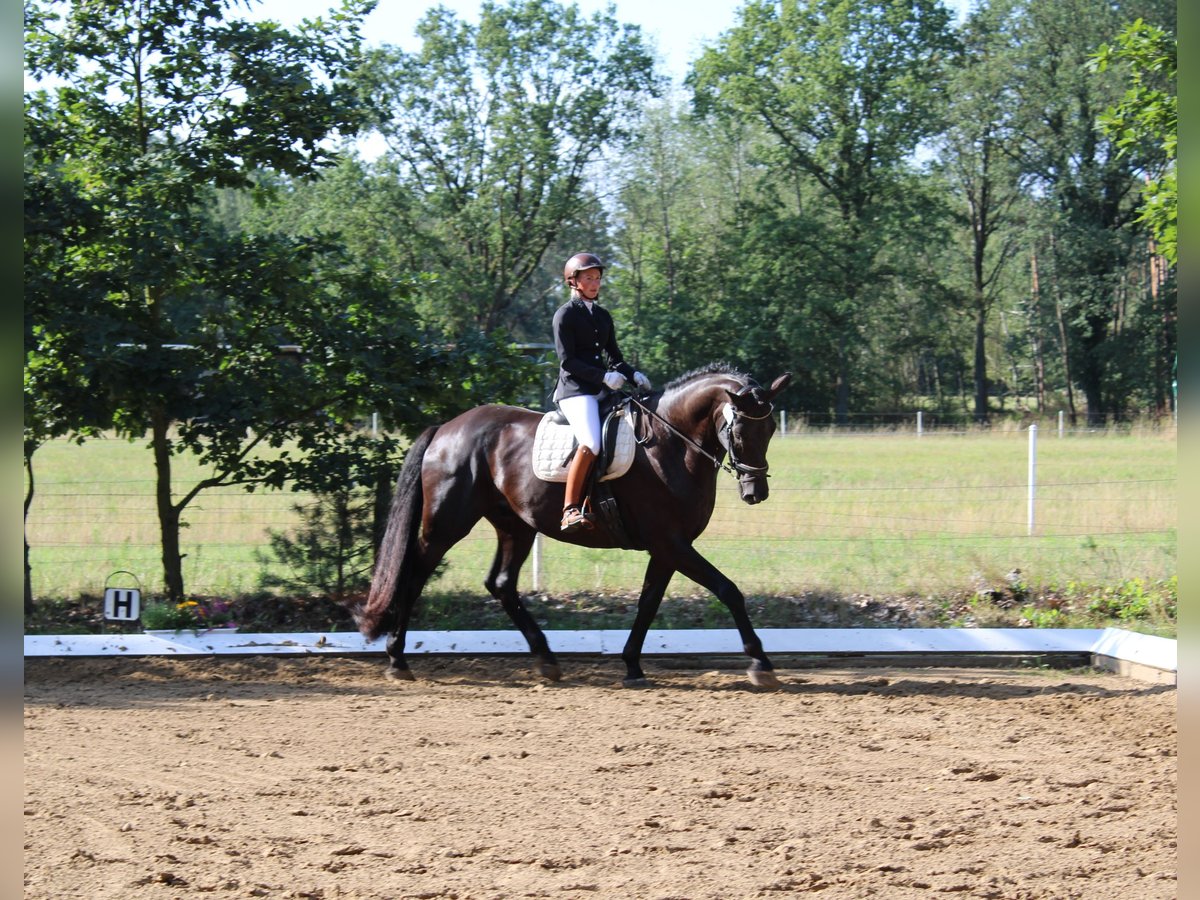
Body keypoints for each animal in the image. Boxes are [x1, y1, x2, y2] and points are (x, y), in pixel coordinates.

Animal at [350, 362, 792, 686]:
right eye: (739, 429)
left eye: (770, 428)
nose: (756, 492)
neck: (669, 442)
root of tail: (446, 428)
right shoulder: (671, 543)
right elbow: (728, 590)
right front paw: (761, 663)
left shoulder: (667, 548)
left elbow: (648, 603)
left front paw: (632, 665)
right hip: (445, 525)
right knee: (414, 575)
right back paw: (397, 660)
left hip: (516, 526)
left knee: (501, 584)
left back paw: (547, 660)